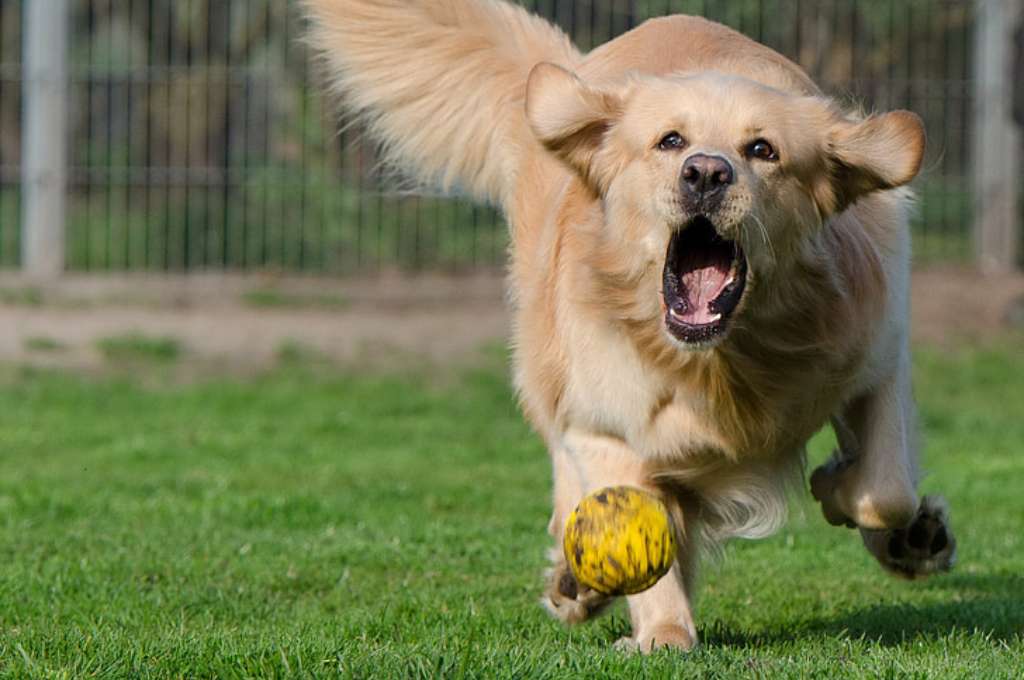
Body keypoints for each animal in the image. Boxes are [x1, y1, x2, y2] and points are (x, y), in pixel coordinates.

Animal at [301, 0, 950, 651]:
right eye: (670, 141)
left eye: (763, 150)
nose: (706, 173)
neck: (720, 362)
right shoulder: (606, 425)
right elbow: (638, 525)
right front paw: (663, 632)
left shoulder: (878, 356)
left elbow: (886, 491)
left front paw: (854, 499)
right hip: (546, 363)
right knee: (567, 469)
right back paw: (577, 583)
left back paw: (913, 541)